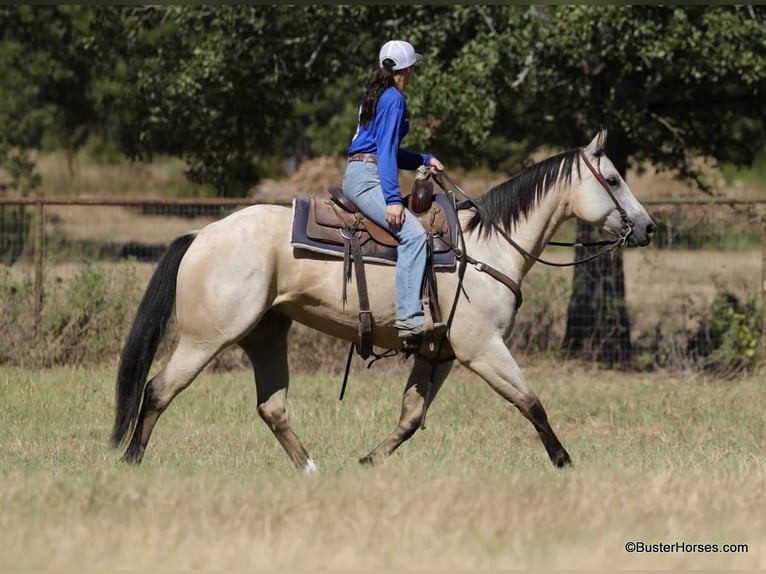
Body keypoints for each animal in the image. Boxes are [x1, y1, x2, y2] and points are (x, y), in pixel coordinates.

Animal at [111, 129, 655, 471]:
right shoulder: (483, 349)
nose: (648, 226)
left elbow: (411, 417)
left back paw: (311, 468)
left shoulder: (439, 355)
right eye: (613, 179)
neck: (487, 248)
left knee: (272, 407)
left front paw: (369, 460)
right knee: (157, 390)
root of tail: (201, 233)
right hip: (208, 338)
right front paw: (563, 461)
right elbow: (531, 402)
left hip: (265, 334)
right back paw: (132, 460)